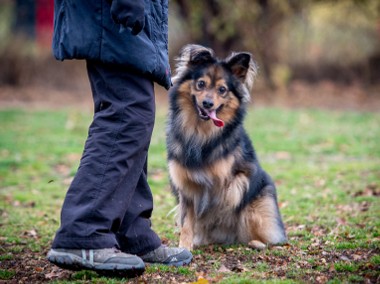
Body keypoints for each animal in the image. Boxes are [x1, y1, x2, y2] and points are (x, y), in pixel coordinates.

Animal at [165, 43, 286, 250]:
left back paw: (255, 242)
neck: (201, 132)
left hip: (259, 206)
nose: (207, 103)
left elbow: (228, 191)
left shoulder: (234, 176)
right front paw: (184, 247)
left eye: (222, 89)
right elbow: (187, 221)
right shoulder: (186, 186)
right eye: (201, 84)